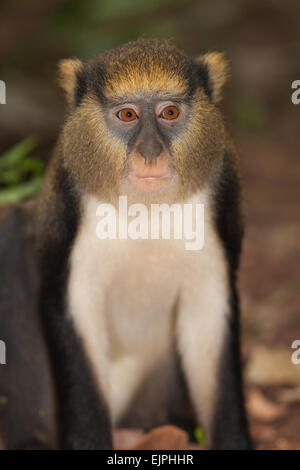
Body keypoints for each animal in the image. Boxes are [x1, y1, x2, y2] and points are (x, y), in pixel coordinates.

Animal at [0, 38, 252, 450]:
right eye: (128, 115)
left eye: (169, 112)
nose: (150, 153)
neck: (144, 208)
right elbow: (75, 311)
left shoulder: (222, 193)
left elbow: (210, 320)